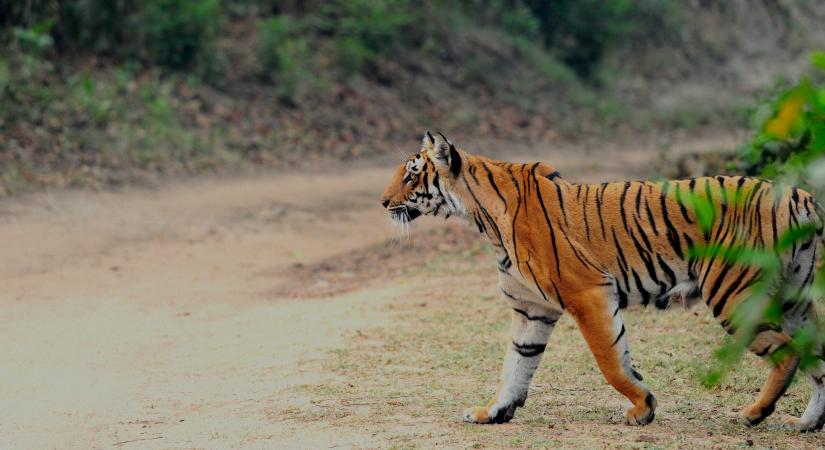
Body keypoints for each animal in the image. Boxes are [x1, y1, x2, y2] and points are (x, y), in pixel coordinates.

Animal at [380, 131, 825, 430]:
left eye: (412, 175)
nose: (383, 202)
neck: (482, 219)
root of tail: (801, 196)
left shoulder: (587, 293)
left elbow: (610, 361)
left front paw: (643, 408)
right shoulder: (532, 309)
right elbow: (516, 364)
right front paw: (492, 411)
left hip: (733, 295)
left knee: (788, 353)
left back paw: (753, 414)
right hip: (793, 298)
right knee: (816, 355)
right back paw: (806, 423)